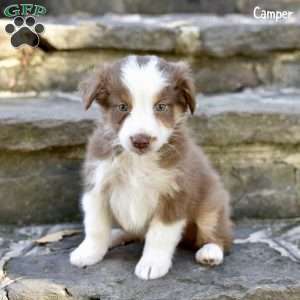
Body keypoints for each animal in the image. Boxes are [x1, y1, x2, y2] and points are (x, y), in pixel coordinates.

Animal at [69, 55, 232, 280]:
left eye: (161, 107)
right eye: (122, 107)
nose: (140, 140)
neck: (138, 160)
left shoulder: (175, 192)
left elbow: (160, 234)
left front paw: (152, 264)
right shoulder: (97, 185)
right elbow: (96, 226)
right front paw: (89, 252)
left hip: (212, 205)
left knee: (220, 235)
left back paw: (210, 251)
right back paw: (115, 235)